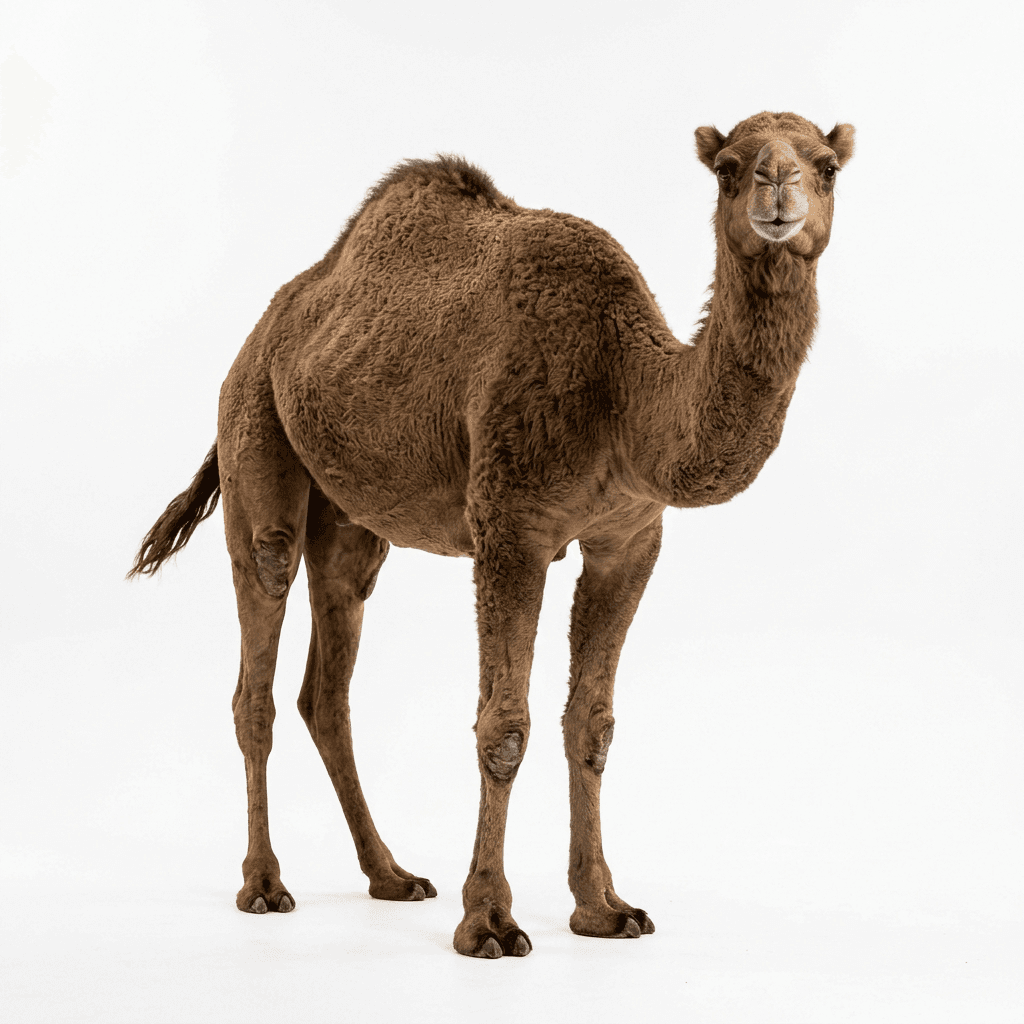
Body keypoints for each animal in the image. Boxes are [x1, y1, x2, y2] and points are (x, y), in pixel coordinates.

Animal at [129, 111, 854, 958]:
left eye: (828, 165)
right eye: (730, 167)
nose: (779, 189)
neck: (624, 392)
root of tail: (272, 322)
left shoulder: (629, 540)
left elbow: (592, 724)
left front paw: (603, 908)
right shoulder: (512, 524)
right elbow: (504, 725)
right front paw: (489, 922)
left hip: (350, 518)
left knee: (327, 686)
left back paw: (391, 874)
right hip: (254, 432)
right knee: (259, 661)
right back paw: (265, 884)